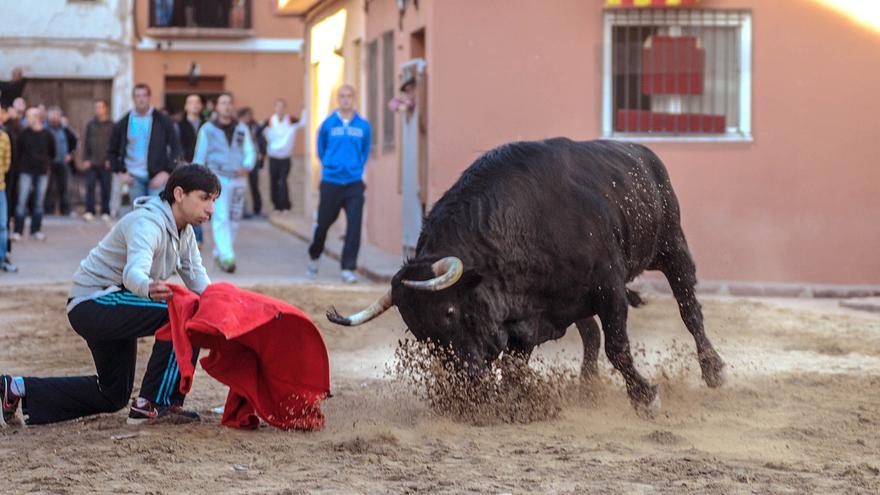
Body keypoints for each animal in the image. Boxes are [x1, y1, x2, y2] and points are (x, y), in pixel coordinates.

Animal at [326, 138, 724, 412]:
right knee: (591, 334)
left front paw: (645, 397)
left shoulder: (609, 287)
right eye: (421, 334)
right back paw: (588, 387)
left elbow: (619, 347)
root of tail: (644, 154)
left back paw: (713, 369)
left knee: (689, 310)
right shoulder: (525, 318)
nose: (466, 386)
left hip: (672, 247)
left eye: (450, 312)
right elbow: (519, 366)